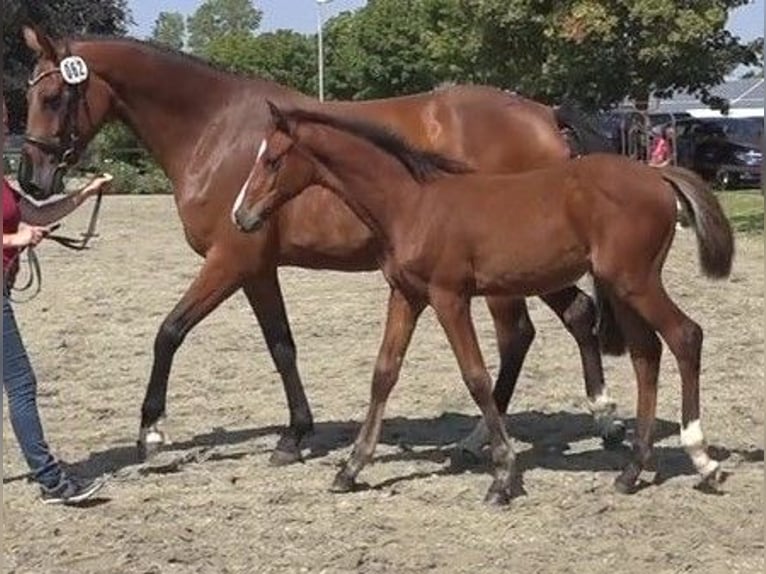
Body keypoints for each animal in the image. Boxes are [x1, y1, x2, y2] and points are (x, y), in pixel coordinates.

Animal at [231, 104, 736, 508]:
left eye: (272, 160)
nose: (240, 216)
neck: (412, 204)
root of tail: (655, 174)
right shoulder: (407, 295)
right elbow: (384, 373)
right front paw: (351, 468)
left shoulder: (449, 296)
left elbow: (475, 376)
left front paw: (503, 477)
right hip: (624, 286)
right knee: (646, 355)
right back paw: (632, 471)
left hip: (636, 282)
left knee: (685, 336)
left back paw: (702, 460)